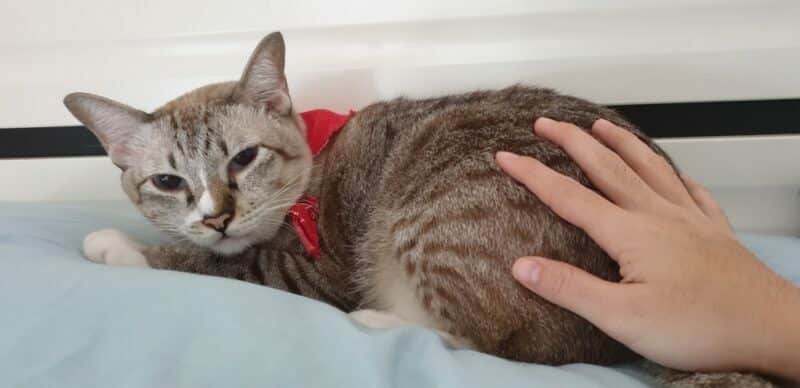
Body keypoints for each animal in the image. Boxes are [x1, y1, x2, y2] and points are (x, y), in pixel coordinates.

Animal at [65, 31, 780, 388]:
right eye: (167, 180)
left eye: (243, 159)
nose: (215, 216)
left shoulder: (308, 273)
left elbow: (211, 266)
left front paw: (119, 246)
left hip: (431, 225)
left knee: (498, 345)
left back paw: (380, 321)